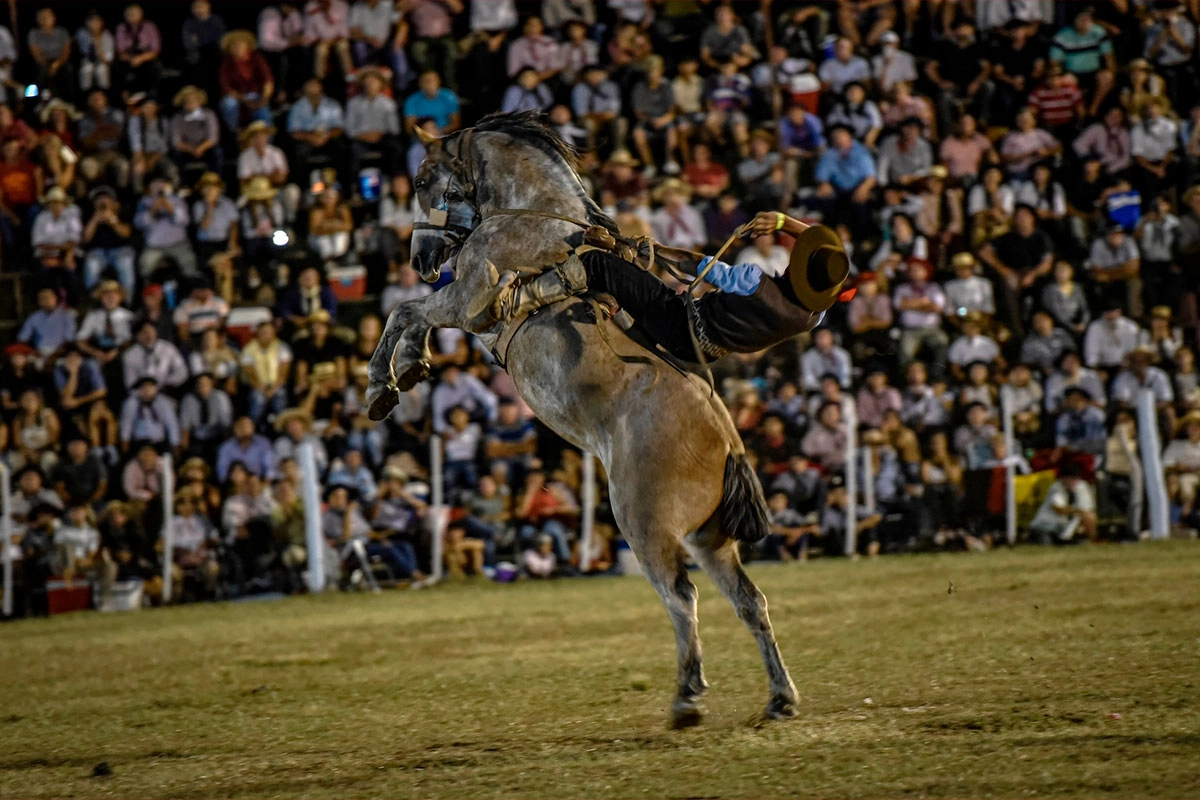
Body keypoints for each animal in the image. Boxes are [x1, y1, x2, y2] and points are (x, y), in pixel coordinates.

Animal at [364, 112, 796, 734]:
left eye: (422, 180)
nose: (421, 259)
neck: (535, 219)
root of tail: (729, 445)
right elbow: (414, 316)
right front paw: (412, 366)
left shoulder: (468, 303)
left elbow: (405, 310)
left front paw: (383, 384)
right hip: (710, 538)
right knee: (749, 601)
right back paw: (780, 697)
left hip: (644, 525)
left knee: (680, 598)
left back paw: (687, 699)